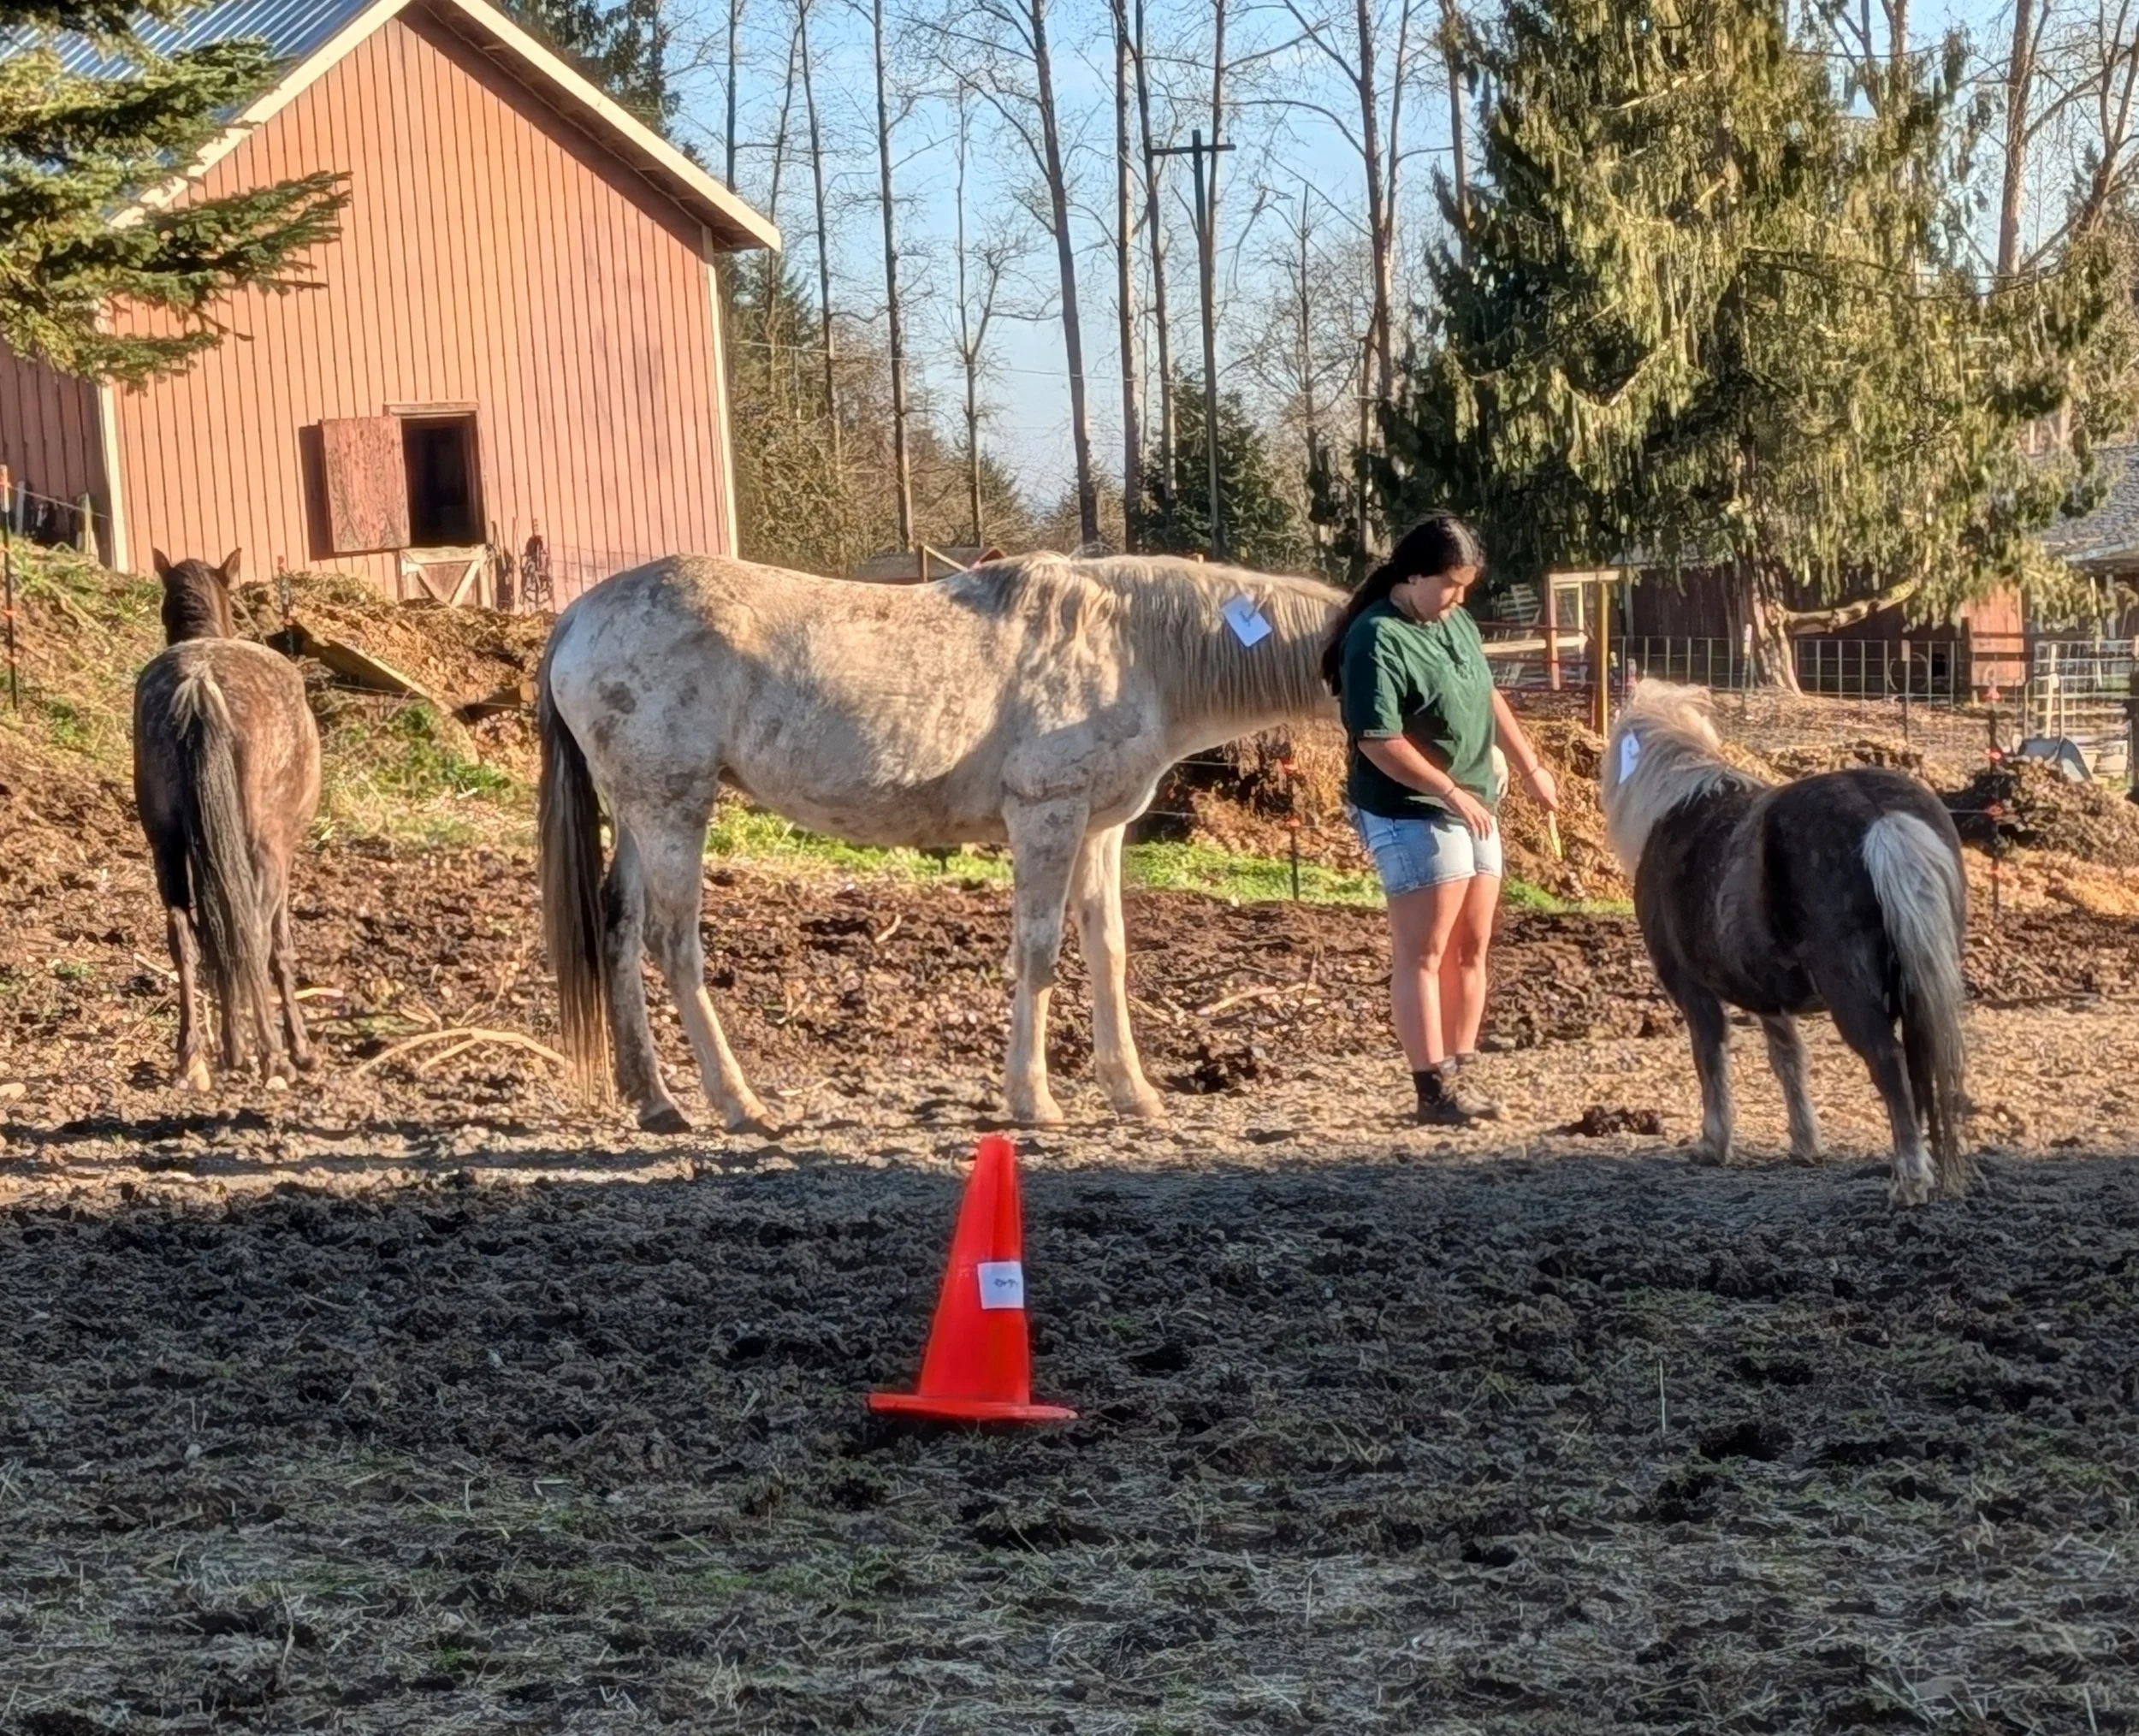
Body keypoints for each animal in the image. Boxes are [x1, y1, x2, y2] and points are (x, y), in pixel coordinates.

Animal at [133, 550, 322, 1089]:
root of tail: (200, 685)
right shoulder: (282, 856)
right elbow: (277, 946)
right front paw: (296, 1048)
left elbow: (213, 939)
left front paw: (231, 1040)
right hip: (265, 849)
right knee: (252, 933)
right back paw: (274, 1056)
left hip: (167, 846)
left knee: (185, 936)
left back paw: (193, 1057)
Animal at [537, 552, 1342, 1132]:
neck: (1130, 648)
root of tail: (577, 615)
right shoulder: (1046, 815)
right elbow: (1039, 954)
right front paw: (1033, 1099)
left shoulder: (1099, 829)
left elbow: (1107, 953)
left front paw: (1131, 1091)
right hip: (673, 807)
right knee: (674, 945)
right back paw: (739, 1103)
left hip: (637, 811)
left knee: (619, 928)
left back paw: (654, 1099)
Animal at [1599, 681, 1971, 1206]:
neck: (1678, 809)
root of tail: (1881, 816)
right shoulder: (1768, 999)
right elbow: (1789, 1062)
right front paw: (1805, 1143)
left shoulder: (1694, 992)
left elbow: (1709, 1060)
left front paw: (1713, 1144)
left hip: (1851, 993)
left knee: (1890, 1064)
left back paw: (1909, 1179)